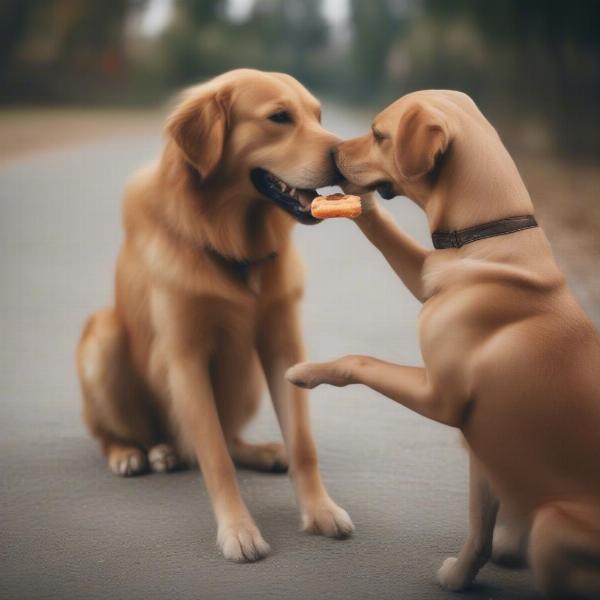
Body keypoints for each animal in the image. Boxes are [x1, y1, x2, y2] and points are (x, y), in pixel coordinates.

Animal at [77, 70, 354, 564]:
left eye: (318, 116)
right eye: (279, 117)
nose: (344, 157)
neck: (229, 239)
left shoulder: (283, 344)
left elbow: (302, 444)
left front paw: (320, 510)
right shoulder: (186, 357)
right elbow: (215, 460)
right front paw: (238, 531)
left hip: (245, 373)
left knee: (228, 439)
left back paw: (261, 452)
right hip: (103, 337)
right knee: (124, 435)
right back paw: (133, 453)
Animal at [288, 90, 600, 600]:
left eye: (378, 134)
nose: (331, 153)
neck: (486, 236)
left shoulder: (440, 398)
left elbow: (361, 360)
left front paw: (306, 372)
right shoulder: (429, 277)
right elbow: (480, 525)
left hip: (555, 526)